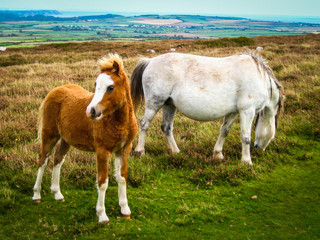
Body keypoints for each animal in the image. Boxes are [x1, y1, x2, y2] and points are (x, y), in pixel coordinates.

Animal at [130, 52, 282, 165]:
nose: (259, 147)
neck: (259, 78)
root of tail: (150, 61)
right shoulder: (247, 111)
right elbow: (245, 137)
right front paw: (246, 161)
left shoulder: (233, 113)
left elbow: (224, 131)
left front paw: (218, 154)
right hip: (154, 103)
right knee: (144, 124)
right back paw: (140, 151)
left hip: (169, 105)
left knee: (166, 127)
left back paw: (176, 152)